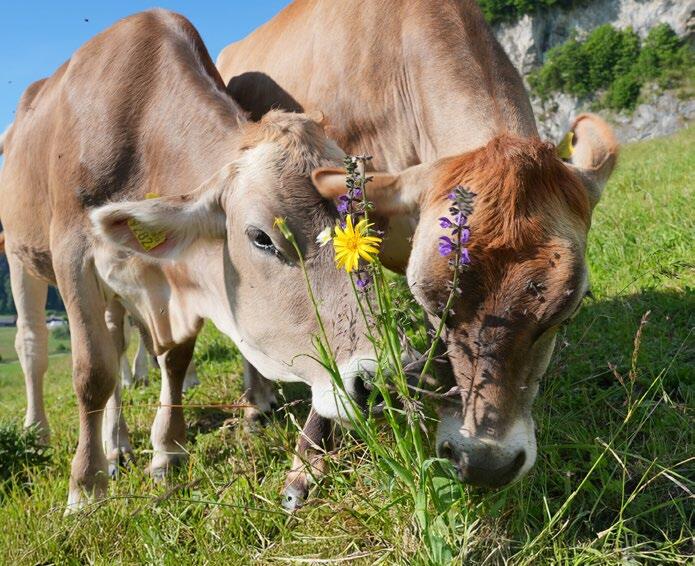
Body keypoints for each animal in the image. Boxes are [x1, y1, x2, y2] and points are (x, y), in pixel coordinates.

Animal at [0, 9, 410, 511]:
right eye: (261, 238)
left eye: (366, 226)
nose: (383, 380)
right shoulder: (72, 252)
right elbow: (92, 371)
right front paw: (85, 486)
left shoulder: (172, 271)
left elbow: (174, 357)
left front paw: (167, 450)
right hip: (20, 256)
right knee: (33, 343)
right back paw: (40, 432)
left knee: (116, 342)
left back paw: (117, 443)